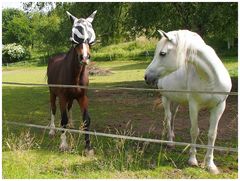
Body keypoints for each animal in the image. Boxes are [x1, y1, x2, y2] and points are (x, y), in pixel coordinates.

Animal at [46, 10, 96, 153]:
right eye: (73, 39)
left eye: (91, 40)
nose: (84, 57)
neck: (75, 75)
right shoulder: (62, 97)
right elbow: (62, 119)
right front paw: (63, 144)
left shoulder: (82, 97)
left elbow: (86, 120)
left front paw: (88, 147)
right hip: (52, 93)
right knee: (53, 109)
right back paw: (52, 130)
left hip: (71, 98)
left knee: (69, 109)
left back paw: (71, 125)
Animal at [144, 29, 232, 174]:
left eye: (162, 53)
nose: (146, 77)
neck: (211, 78)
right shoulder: (193, 106)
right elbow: (194, 131)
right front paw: (192, 160)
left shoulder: (219, 107)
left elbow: (212, 134)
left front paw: (210, 165)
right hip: (166, 98)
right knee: (168, 118)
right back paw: (170, 142)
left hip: (176, 101)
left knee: (173, 116)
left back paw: (173, 135)